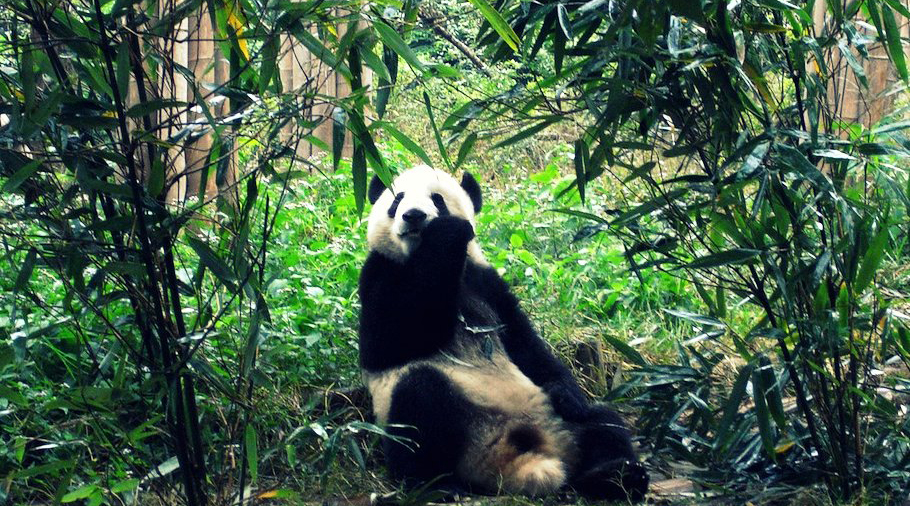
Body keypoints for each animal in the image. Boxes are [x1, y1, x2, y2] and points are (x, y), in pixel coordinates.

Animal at [360, 166, 652, 502]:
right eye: (397, 199)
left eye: (437, 199)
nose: (413, 216)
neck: (420, 258)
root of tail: (514, 459)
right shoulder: (380, 271)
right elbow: (387, 342)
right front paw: (447, 234)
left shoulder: (486, 283)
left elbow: (525, 344)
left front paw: (566, 393)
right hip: (457, 430)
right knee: (418, 401)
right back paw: (433, 485)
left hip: (553, 421)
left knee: (600, 421)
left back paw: (616, 475)